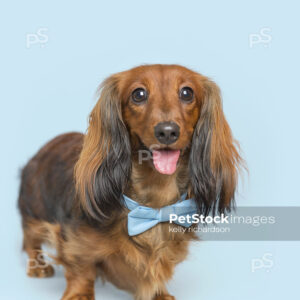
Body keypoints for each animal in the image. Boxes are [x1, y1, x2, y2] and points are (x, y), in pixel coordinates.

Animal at [18, 65, 241, 300]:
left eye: (187, 93)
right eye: (138, 94)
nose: (167, 131)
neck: (154, 202)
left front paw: (159, 293)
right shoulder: (73, 240)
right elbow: (81, 269)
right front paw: (79, 294)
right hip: (34, 210)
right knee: (30, 238)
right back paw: (38, 266)